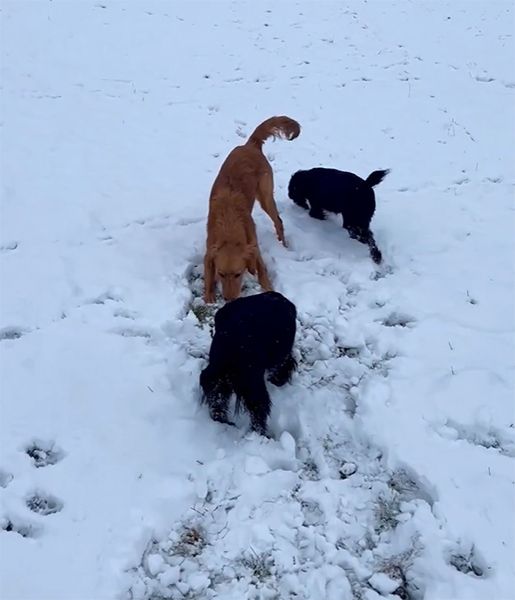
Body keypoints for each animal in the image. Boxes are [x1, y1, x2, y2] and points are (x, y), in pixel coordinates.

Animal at [204, 116, 300, 304]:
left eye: (238, 274)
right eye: (221, 274)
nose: (229, 299)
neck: (229, 224)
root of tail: (251, 144)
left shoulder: (253, 246)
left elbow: (262, 270)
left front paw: (269, 289)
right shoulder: (210, 246)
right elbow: (208, 270)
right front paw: (209, 293)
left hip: (265, 197)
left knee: (278, 221)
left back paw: (283, 243)